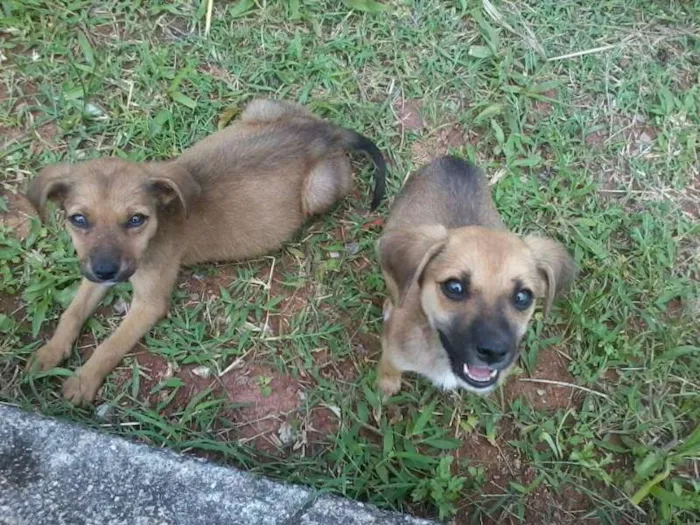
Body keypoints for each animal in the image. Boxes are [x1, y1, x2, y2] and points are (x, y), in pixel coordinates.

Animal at [26, 98, 388, 404]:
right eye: (79, 219)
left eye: (136, 220)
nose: (105, 271)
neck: (162, 220)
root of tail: (323, 135)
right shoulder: (96, 270)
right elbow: (72, 312)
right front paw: (49, 353)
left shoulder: (148, 304)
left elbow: (111, 344)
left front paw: (83, 380)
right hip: (261, 106)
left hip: (317, 192)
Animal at [378, 156, 576, 398]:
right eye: (454, 287)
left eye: (523, 297)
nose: (494, 352)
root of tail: (453, 159)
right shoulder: (392, 351)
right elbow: (389, 367)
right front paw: (386, 384)